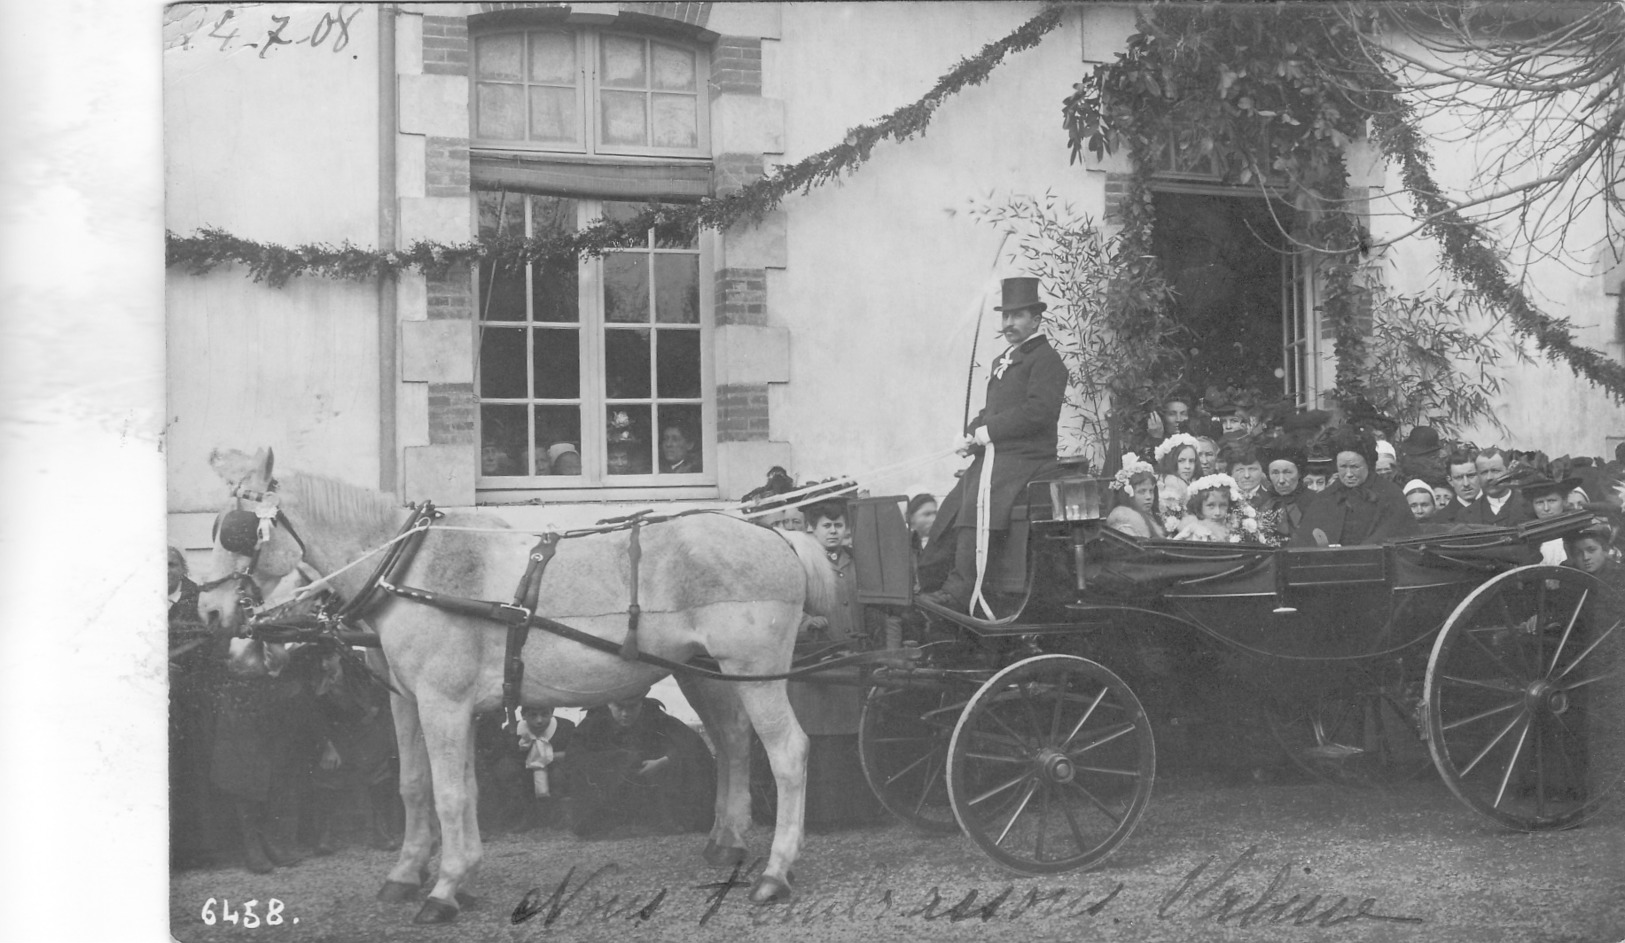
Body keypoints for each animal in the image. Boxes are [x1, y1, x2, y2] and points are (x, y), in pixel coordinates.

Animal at [199, 448, 838, 923]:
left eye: (236, 532)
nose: (210, 614)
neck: (406, 568)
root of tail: (777, 537)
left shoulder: (444, 703)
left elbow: (450, 792)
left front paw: (444, 888)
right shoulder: (411, 703)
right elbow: (419, 786)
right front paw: (414, 874)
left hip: (756, 671)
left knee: (787, 752)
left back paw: (775, 873)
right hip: (704, 671)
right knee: (731, 740)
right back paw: (726, 842)